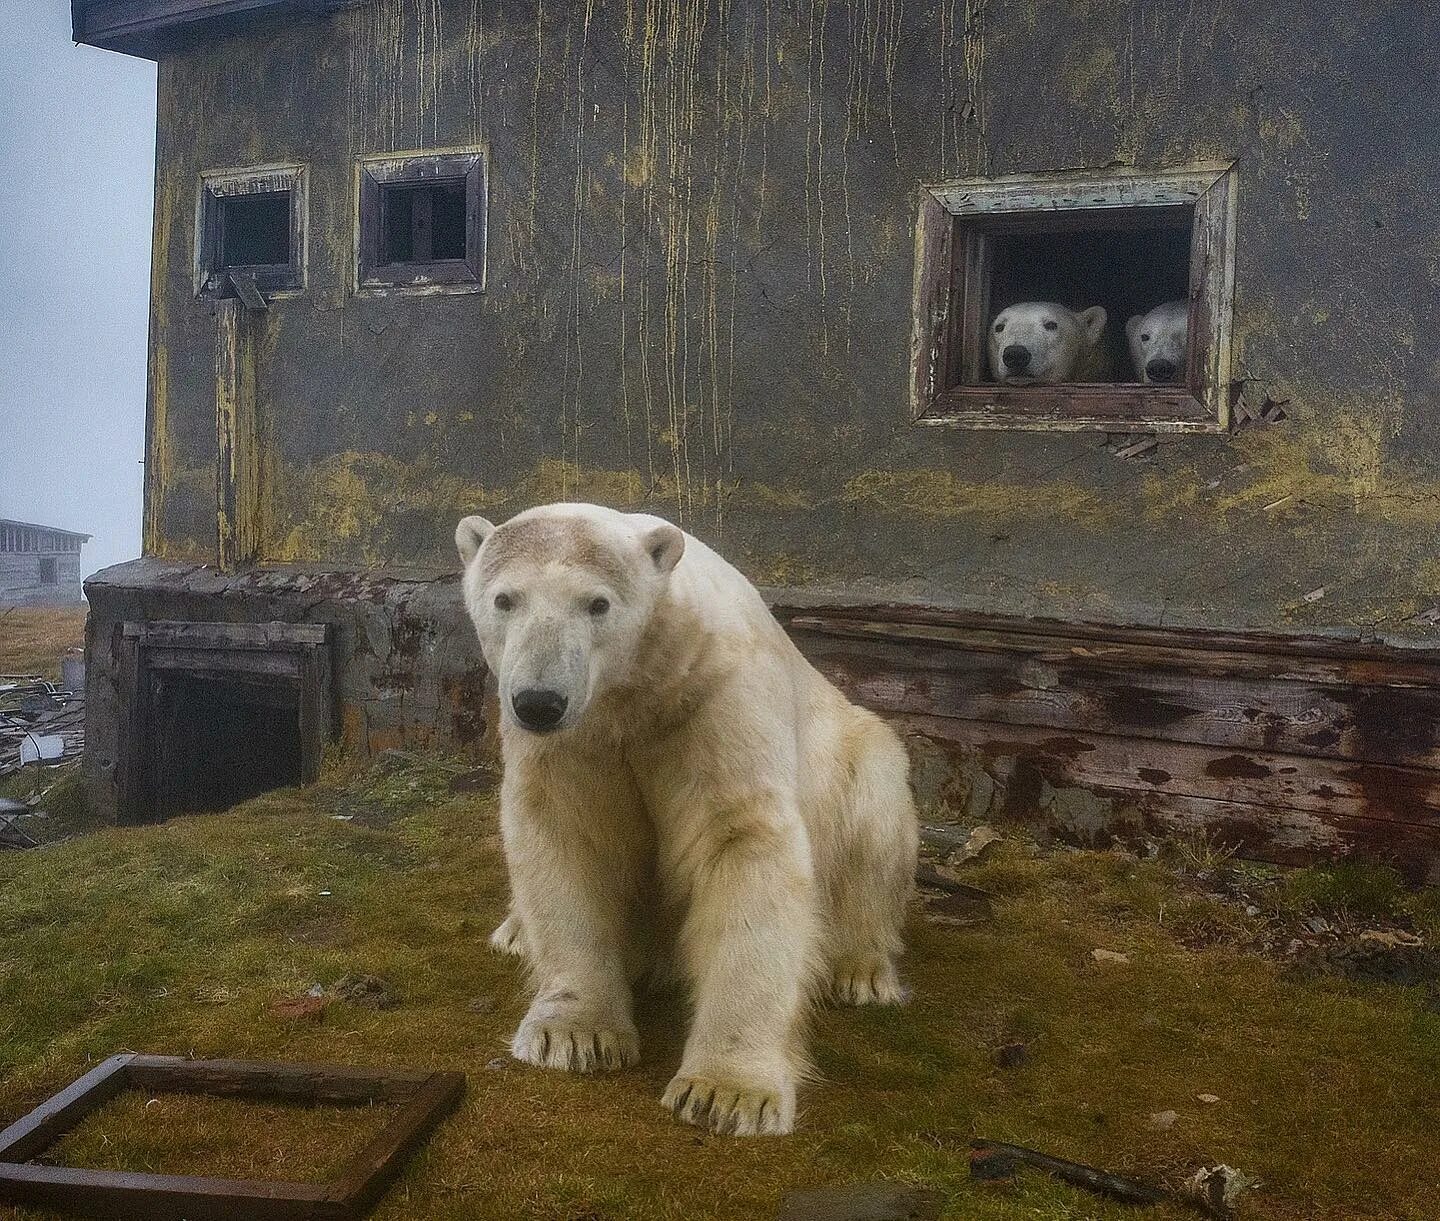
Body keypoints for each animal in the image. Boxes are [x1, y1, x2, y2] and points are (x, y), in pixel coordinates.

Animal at [455, 503, 915, 1134]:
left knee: (873, 821)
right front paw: (572, 1035)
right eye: (505, 599)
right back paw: (516, 932)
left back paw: (862, 970)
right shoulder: (576, 742)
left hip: (854, 754)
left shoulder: (712, 701)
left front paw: (727, 1092)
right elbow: (567, 836)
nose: (540, 702)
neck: (636, 691)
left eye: (597, 604)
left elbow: (740, 842)